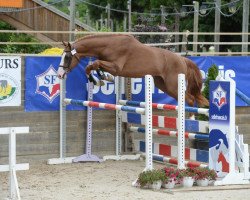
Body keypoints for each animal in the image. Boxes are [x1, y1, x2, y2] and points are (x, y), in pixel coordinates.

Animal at [57, 33, 208, 107]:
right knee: (186, 98)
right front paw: (102, 79)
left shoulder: (116, 68)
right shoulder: (108, 64)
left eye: (67, 57)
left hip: (173, 84)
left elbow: (93, 64)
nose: (59, 74)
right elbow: (94, 66)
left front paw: (100, 80)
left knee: (189, 99)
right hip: (163, 85)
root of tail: (183, 59)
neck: (108, 45)